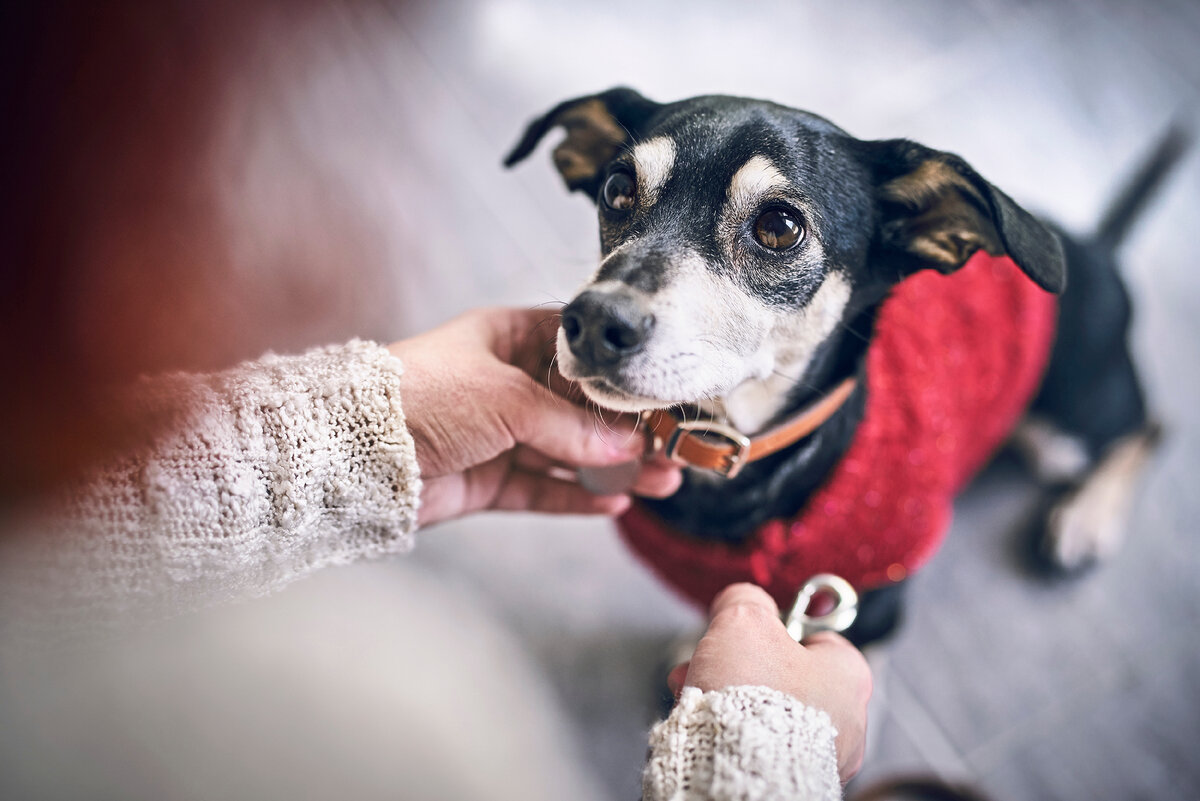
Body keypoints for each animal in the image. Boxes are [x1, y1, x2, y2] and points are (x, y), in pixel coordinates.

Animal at [504, 87, 1180, 642]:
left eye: (779, 227)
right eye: (617, 189)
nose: (594, 322)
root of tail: (1096, 246)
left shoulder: (864, 611)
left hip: (1070, 423)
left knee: (1151, 424)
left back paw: (1086, 521)